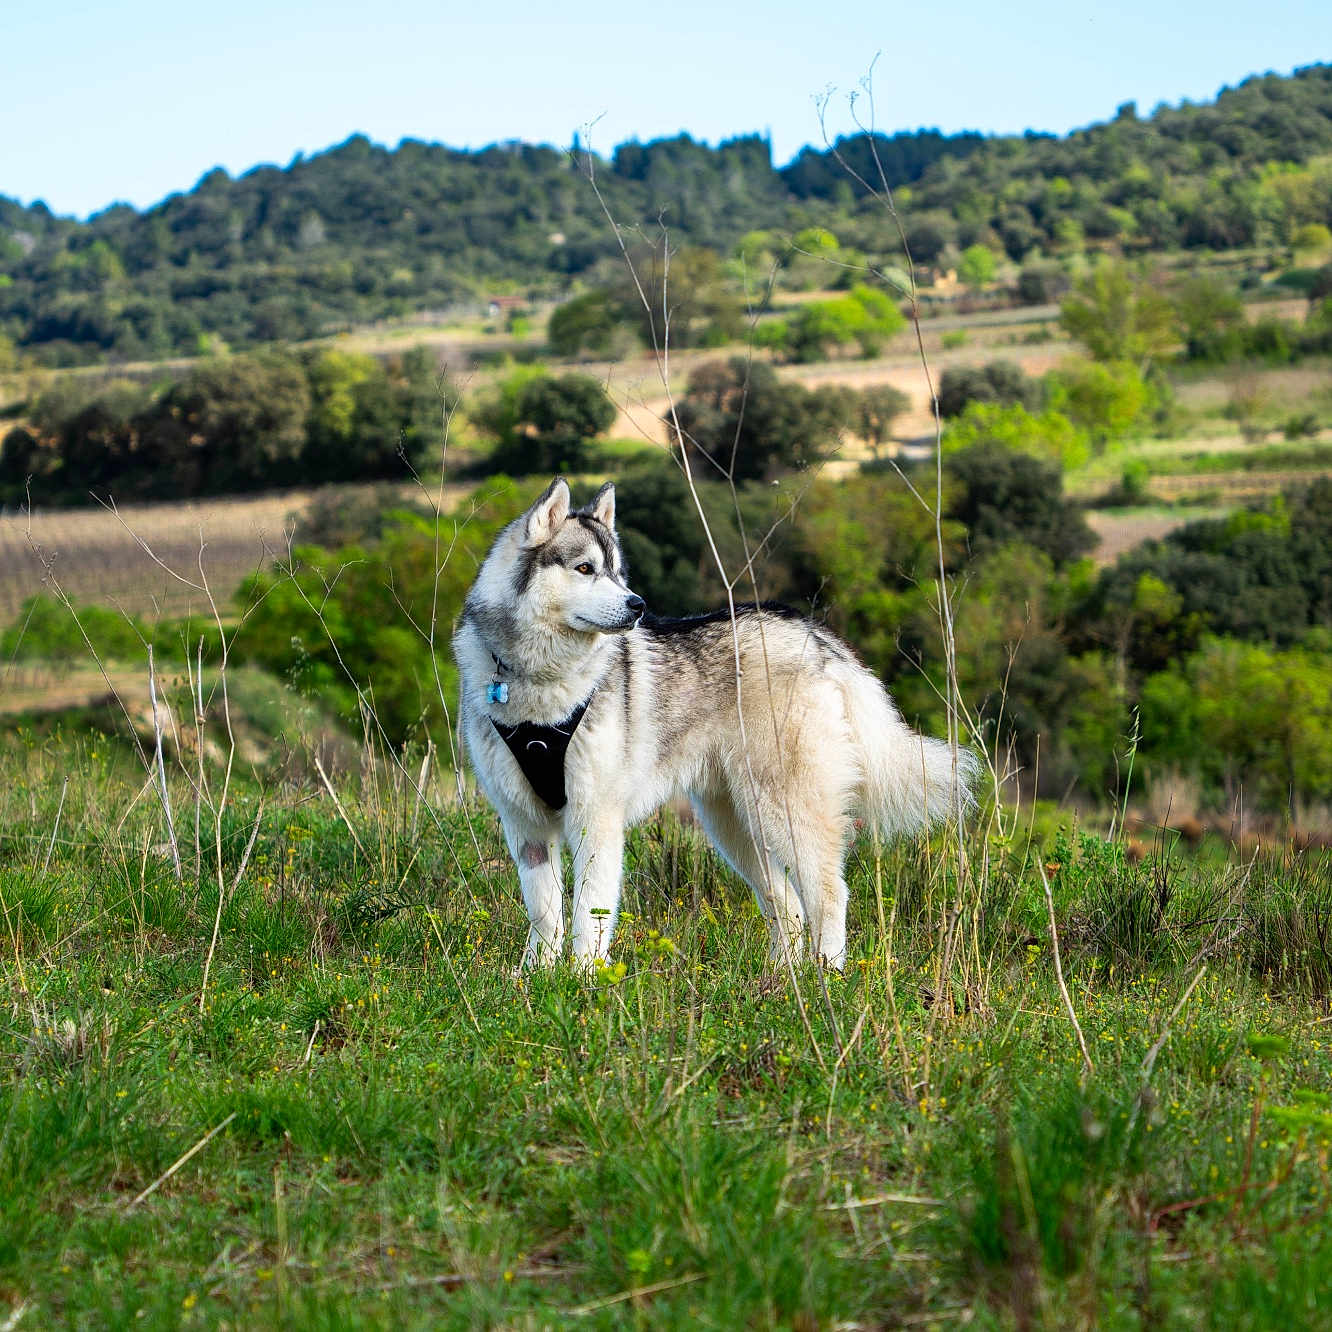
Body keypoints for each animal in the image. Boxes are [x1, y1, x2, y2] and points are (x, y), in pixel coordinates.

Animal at [453, 477, 974, 971]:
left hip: (785, 810)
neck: (538, 685)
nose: (638, 605)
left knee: (829, 895)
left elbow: (588, 915)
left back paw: (826, 974)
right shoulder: (525, 826)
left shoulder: (596, 819)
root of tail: (814, 635)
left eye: (617, 573)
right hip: (735, 824)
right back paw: (777, 982)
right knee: (786, 903)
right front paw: (537, 977)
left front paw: (582, 978)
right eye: (585, 569)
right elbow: (545, 914)